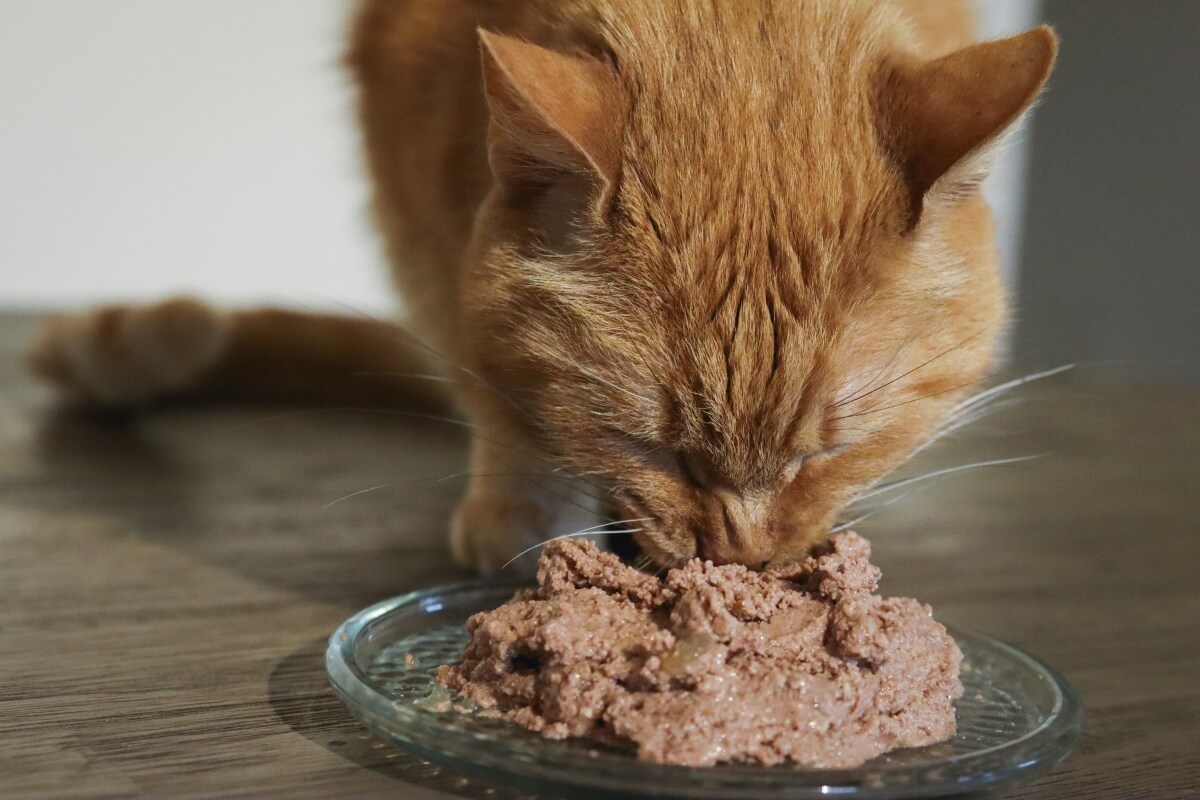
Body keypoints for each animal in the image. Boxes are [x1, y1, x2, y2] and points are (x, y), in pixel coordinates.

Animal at [25, 0, 1060, 575]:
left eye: (830, 452)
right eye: (651, 446)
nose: (740, 560)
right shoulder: (409, 171)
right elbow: (487, 372)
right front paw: (522, 505)